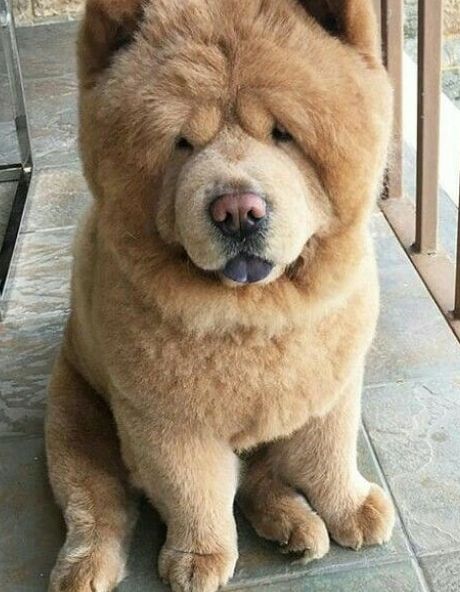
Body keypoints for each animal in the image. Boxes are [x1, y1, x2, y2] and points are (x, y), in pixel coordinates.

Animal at [45, 0, 396, 588]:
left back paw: (294, 525)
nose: (237, 210)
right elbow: (194, 491)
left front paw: (351, 507)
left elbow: (329, 452)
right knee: (98, 506)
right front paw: (199, 557)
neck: (255, 319)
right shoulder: (164, 422)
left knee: (262, 476)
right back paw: (84, 568)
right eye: (182, 143)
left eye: (283, 134)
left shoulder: (334, 386)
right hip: (75, 420)